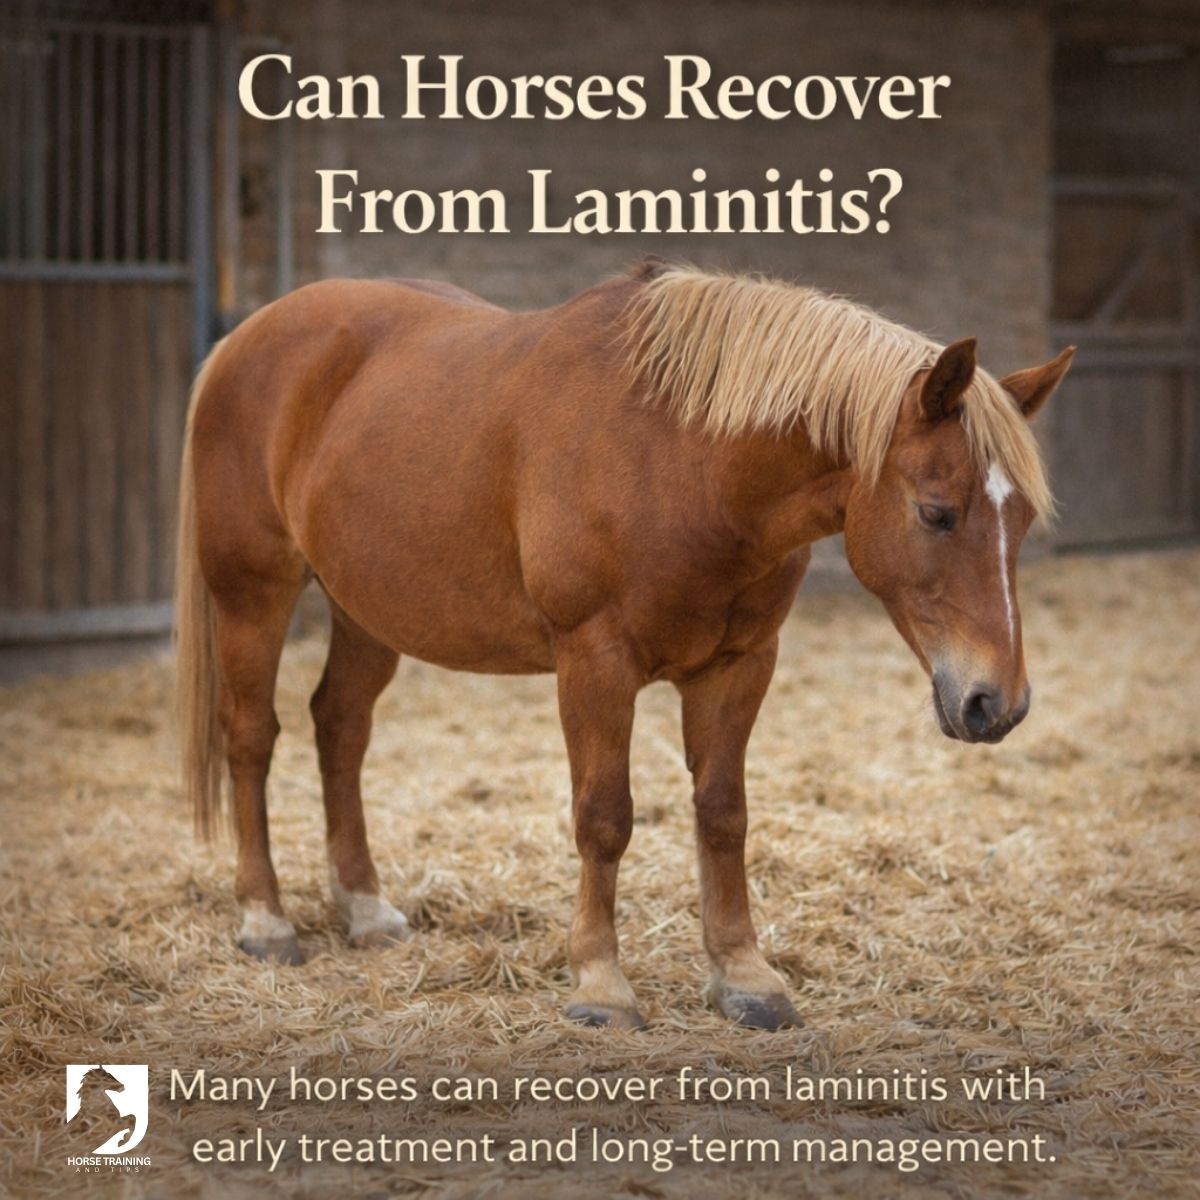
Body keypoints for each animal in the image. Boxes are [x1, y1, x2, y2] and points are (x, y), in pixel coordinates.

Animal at [175, 258, 1074, 1030]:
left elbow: (724, 814)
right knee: (252, 738)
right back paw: (266, 921)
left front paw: (744, 978)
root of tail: (244, 339)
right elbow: (604, 818)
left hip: (367, 611)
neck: (683, 458)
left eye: (1023, 517)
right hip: (254, 594)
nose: (996, 703)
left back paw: (364, 908)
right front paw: (601, 986)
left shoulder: (739, 667)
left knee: (340, 729)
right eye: (936, 513)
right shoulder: (595, 664)